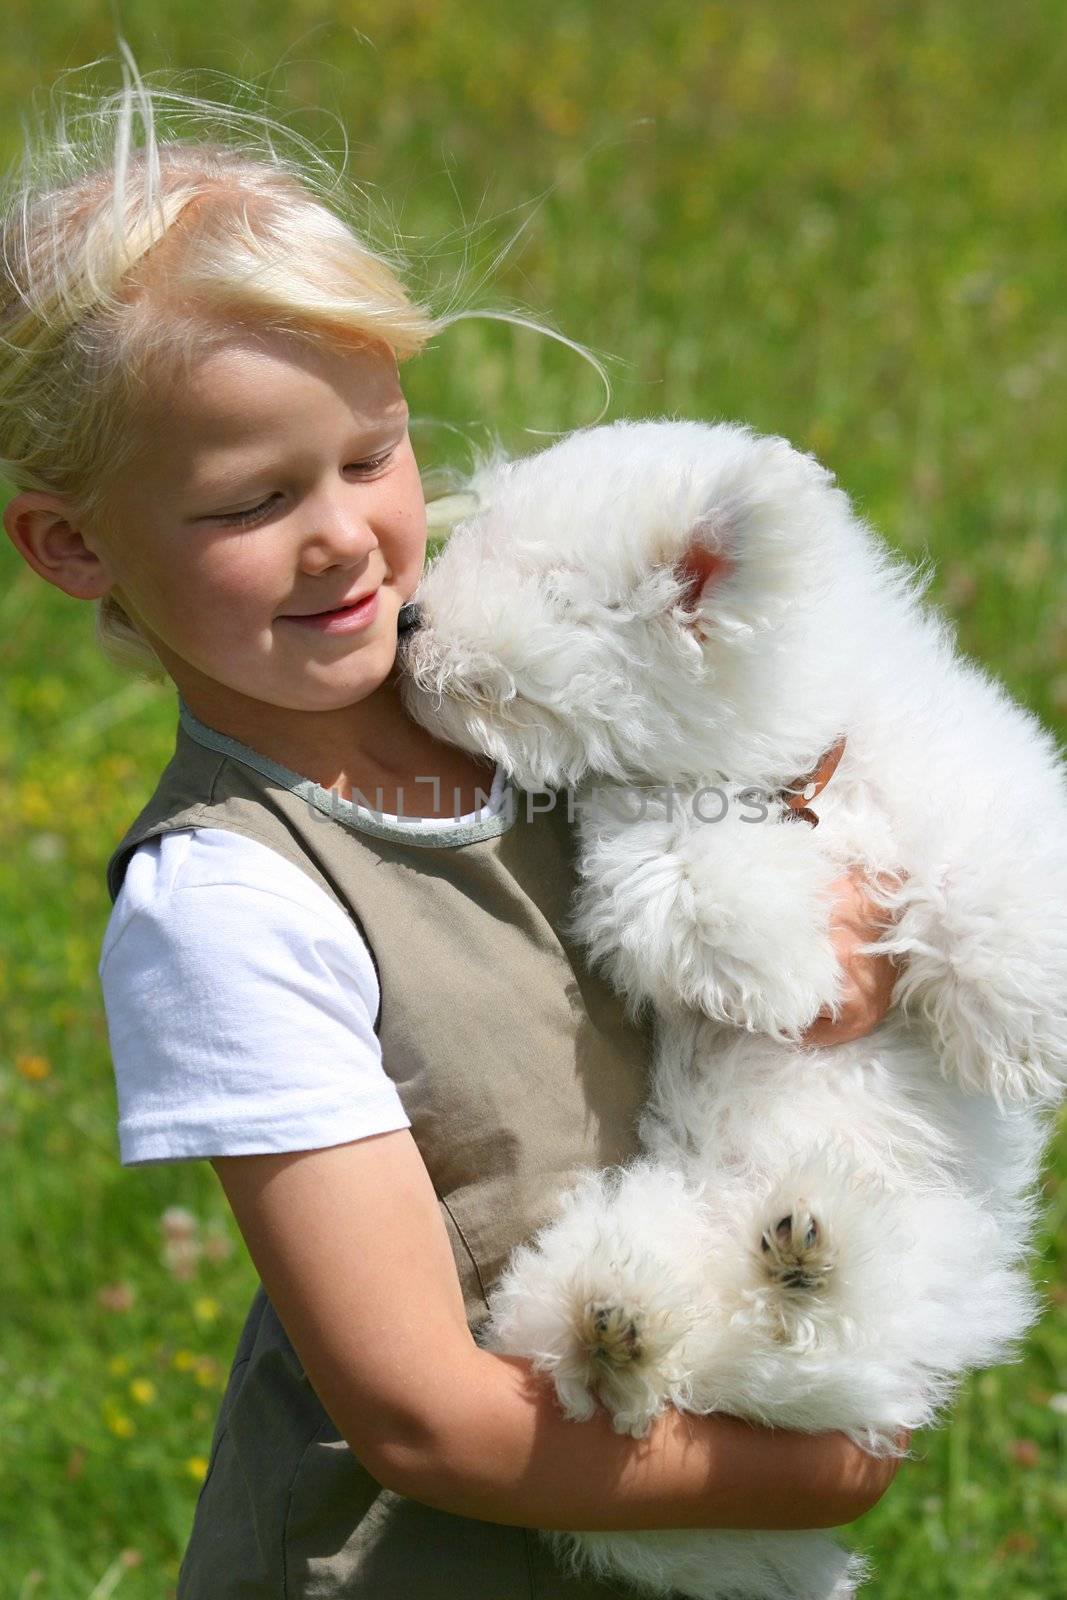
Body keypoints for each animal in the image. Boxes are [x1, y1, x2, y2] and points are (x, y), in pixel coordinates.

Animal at [396, 422, 1062, 1600]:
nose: (407, 619)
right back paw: (633, 1326)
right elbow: (703, 884)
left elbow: (990, 880)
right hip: (616, 1262)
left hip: (926, 1266)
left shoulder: (975, 777)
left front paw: (1010, 1028)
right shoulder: (640, 850)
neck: (786, 779)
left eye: (546, 583)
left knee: (819, 1346)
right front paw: (794, 957)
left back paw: (795, 1258)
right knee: (668, 1371)